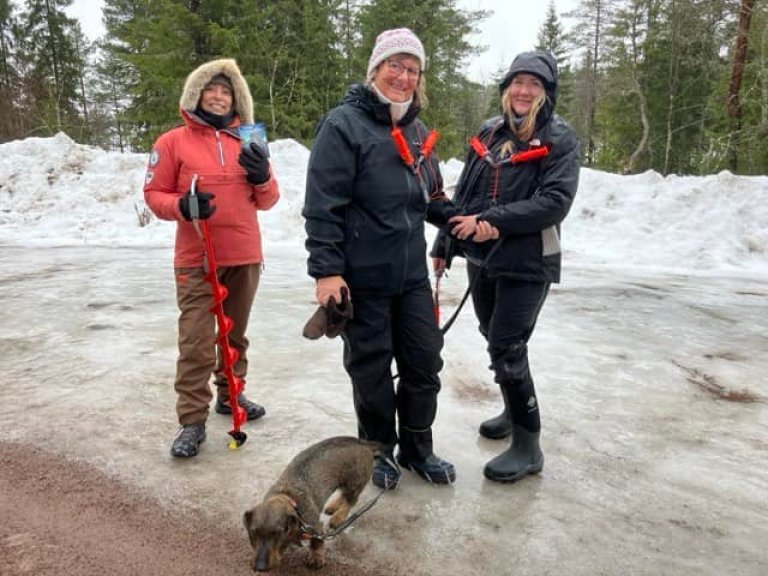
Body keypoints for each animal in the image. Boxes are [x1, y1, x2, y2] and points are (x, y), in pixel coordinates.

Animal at [242, 438, 380, 568]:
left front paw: (316, 558)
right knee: (343, 495)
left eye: (277, 534)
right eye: (253, 533)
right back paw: (332, 507)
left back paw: (338, 518)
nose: (259, 567)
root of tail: (362, 442)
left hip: (354, 483)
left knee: (350, 501)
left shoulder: (315, 526)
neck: (288, 496)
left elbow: (317, 542)